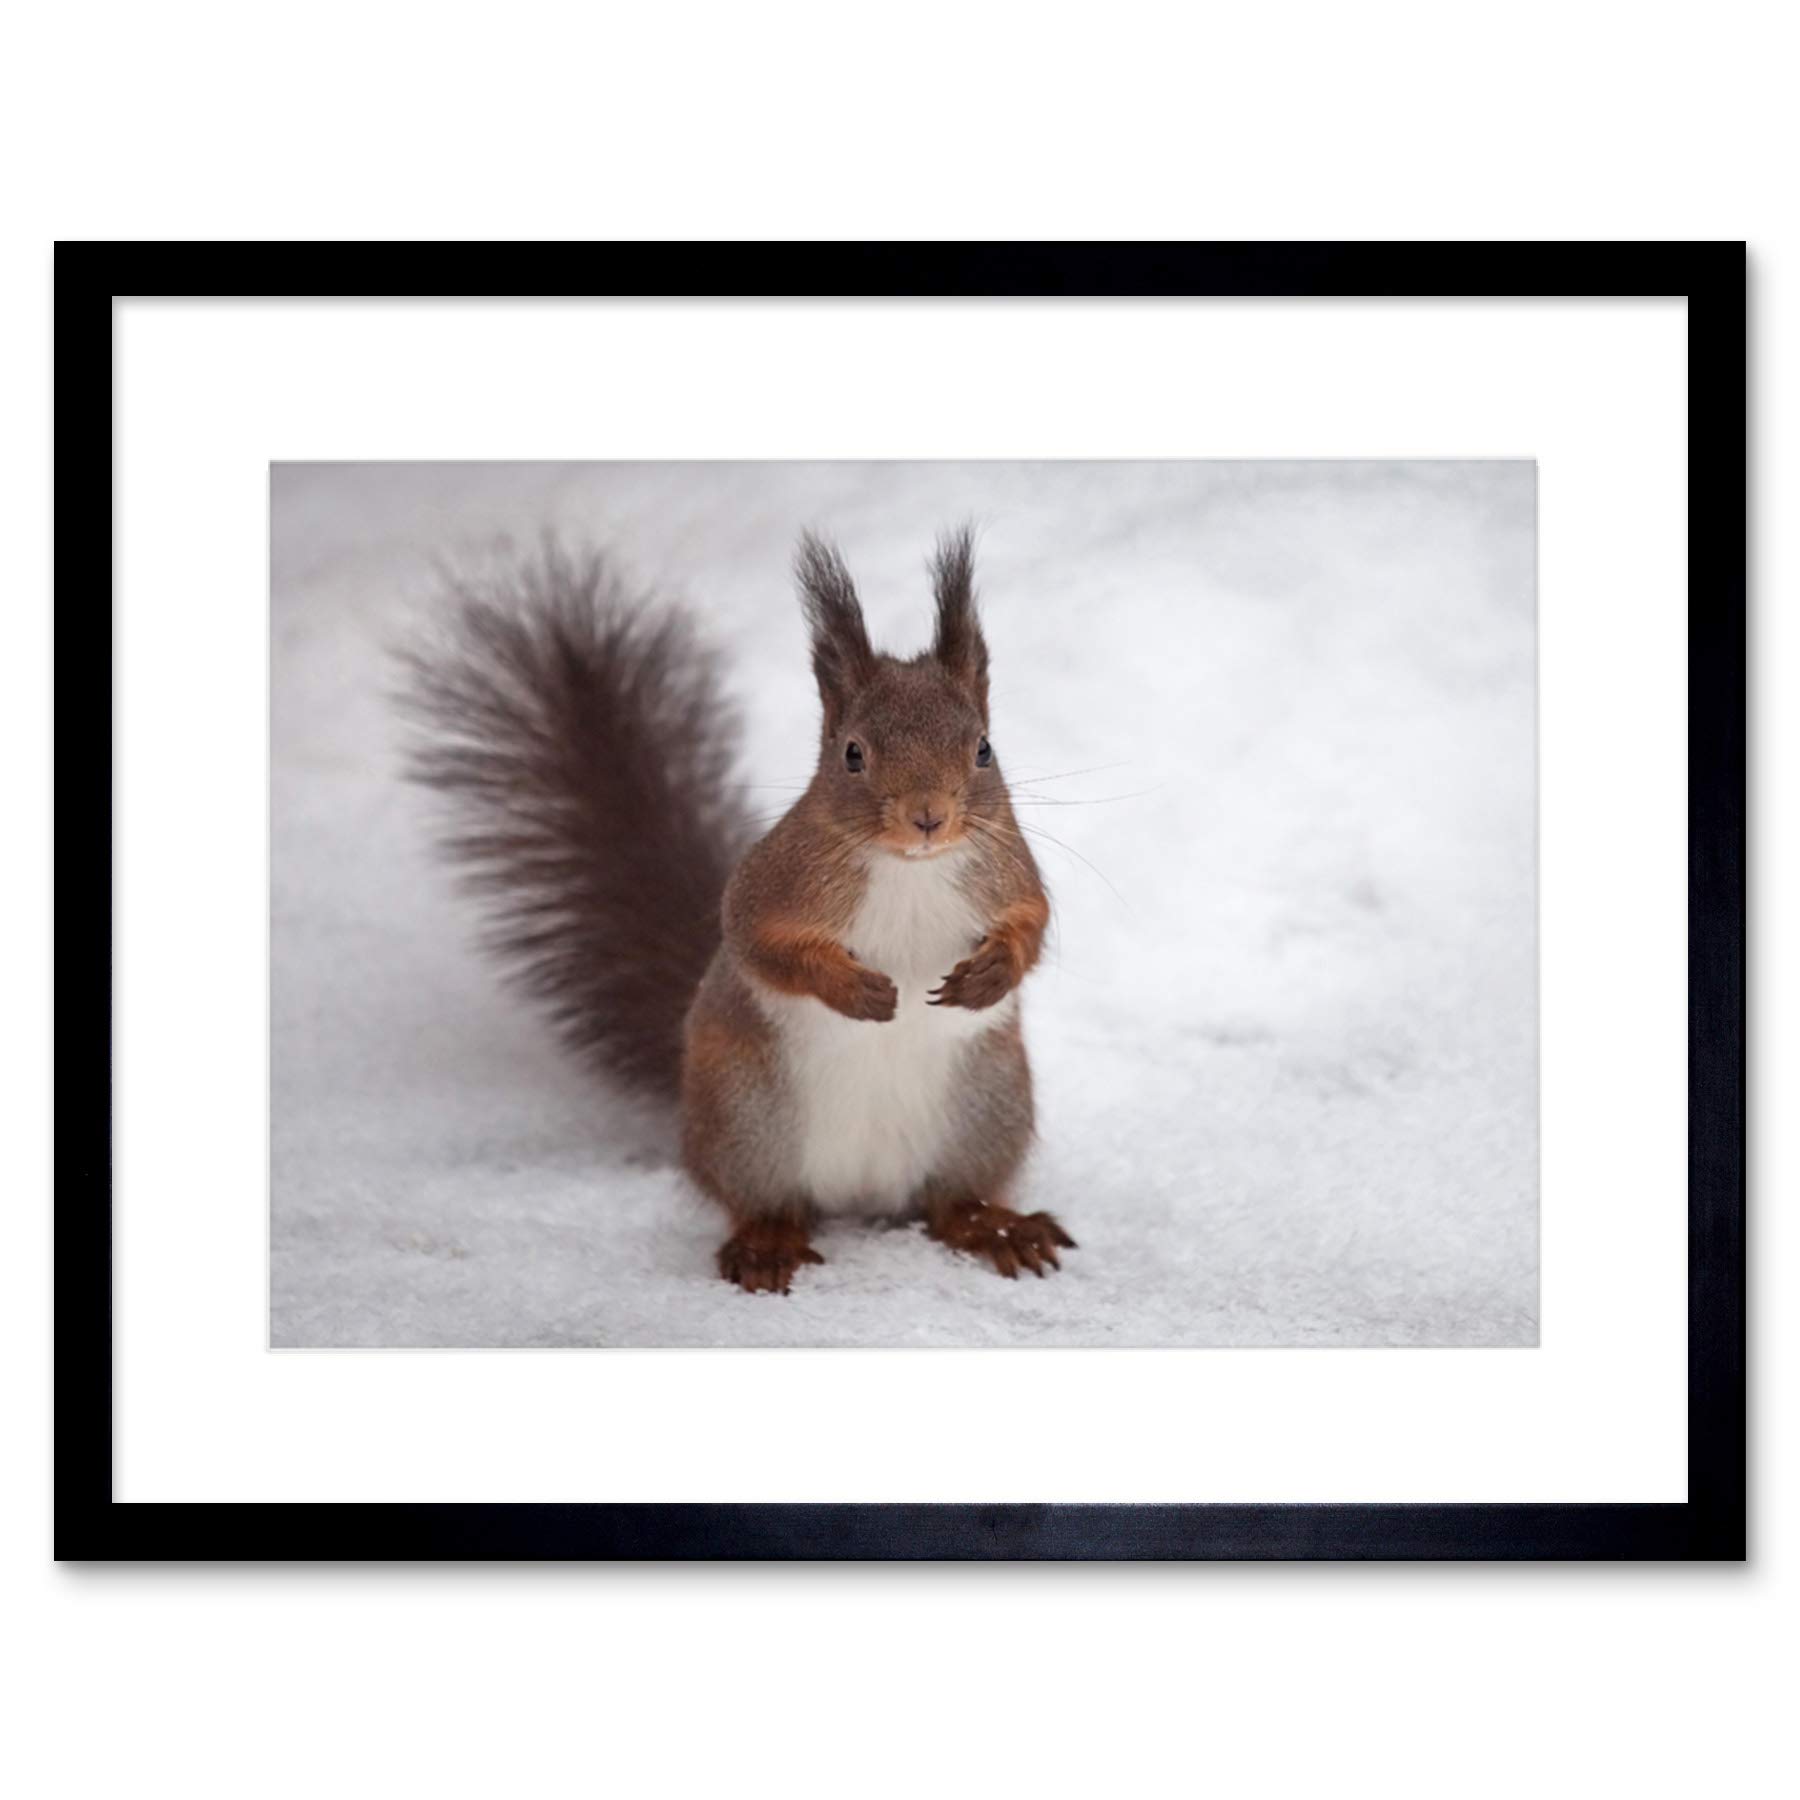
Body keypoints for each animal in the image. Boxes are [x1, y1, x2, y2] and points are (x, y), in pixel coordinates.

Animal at [401, 528, 1073, 1294]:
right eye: (852, 755)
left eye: (984, 749)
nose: (928, 817)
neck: (912, 870)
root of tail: (863, 1192)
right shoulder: (770, 885)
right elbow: (759, 943)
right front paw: (855, 989)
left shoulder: (1009, 874)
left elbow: (1033, 926)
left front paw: (990, 975)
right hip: (746, 1120)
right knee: (765, 1201)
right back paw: (767, 1244)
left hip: (985, 1111)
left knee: (949, 1203)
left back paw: (997, 1228)